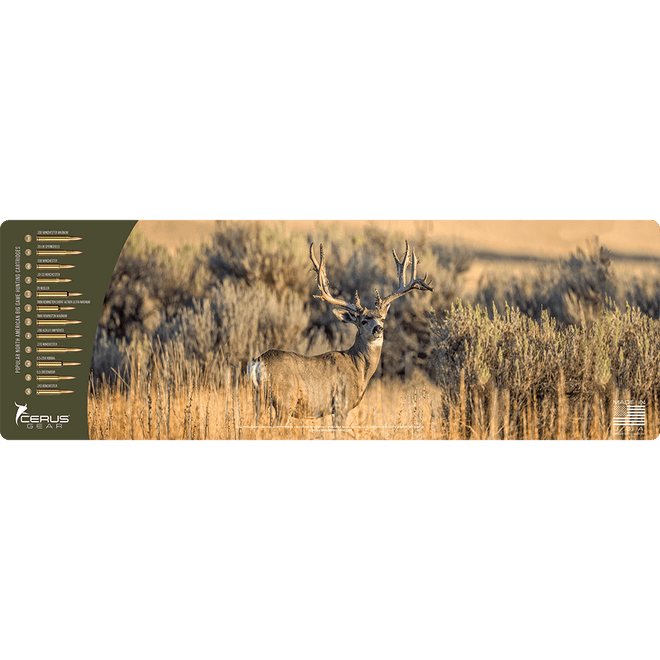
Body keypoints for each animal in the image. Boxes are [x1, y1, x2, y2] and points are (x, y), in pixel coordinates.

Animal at [247, 240, 433, 428]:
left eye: (382, 319)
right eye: (363, 321)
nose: (378, 330)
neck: (358, 367)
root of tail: (257, 363)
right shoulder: (341, 404)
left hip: (258, 399)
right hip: (285, 400)